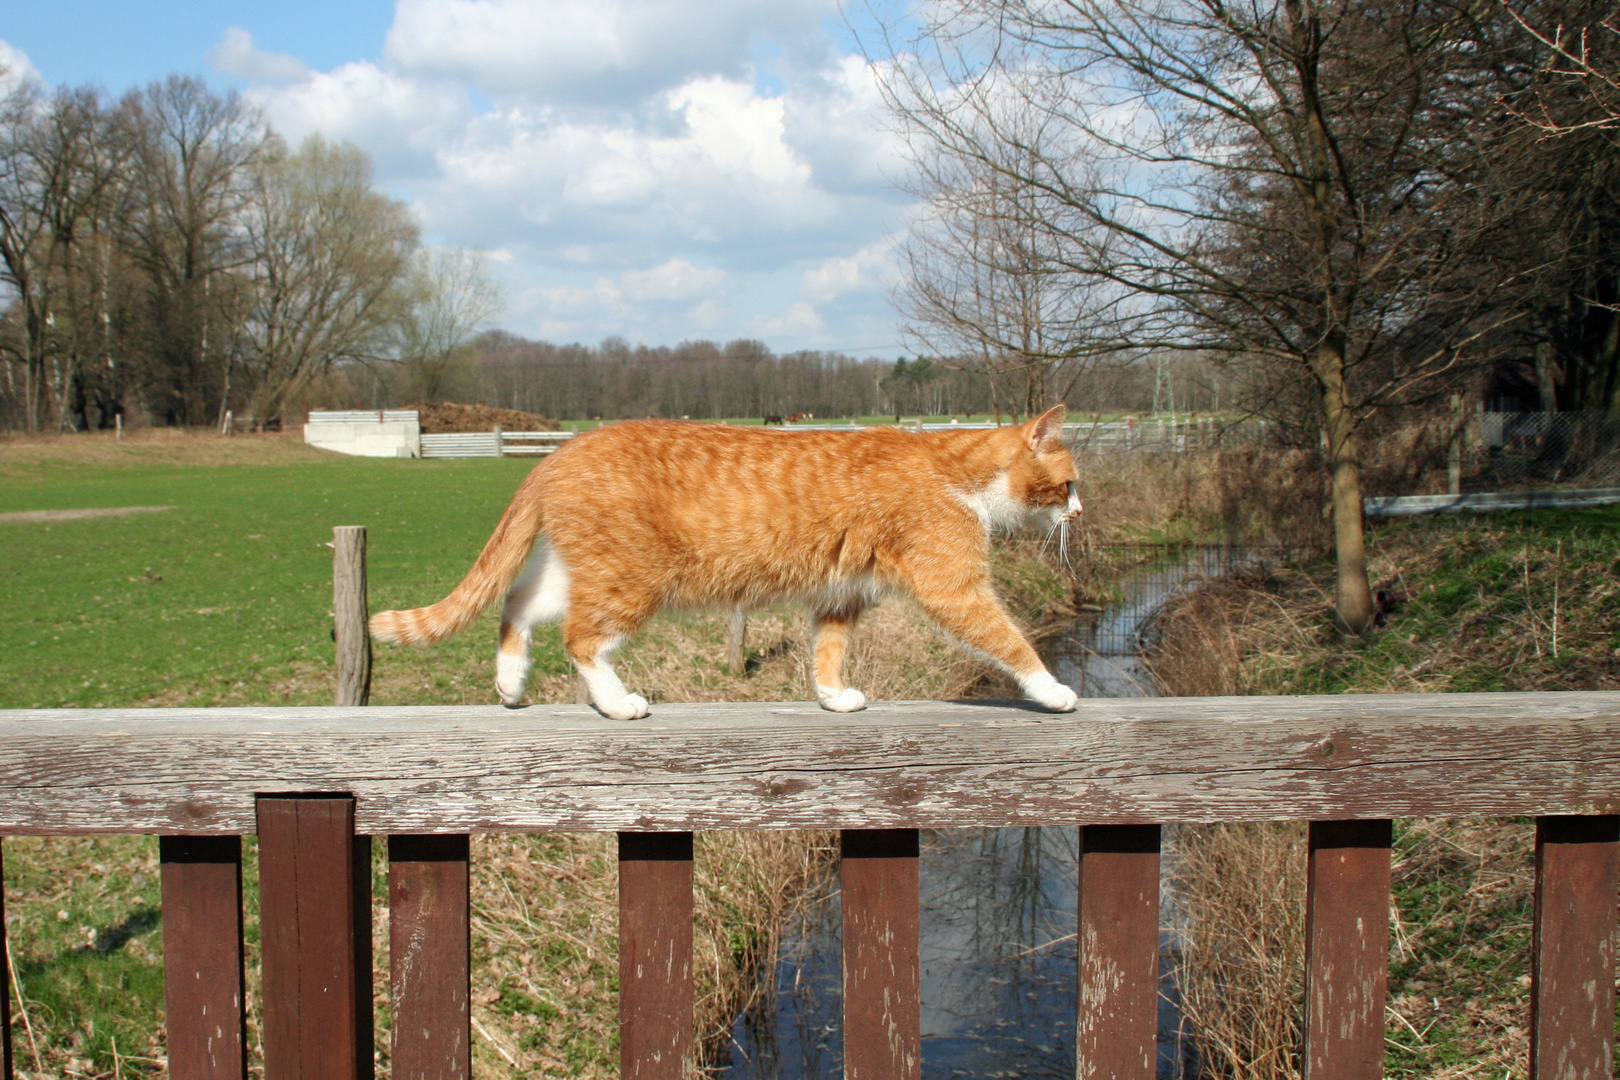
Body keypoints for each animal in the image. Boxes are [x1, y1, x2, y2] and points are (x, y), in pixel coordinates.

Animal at [370, 404, 1082, 718]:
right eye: (1070, 484)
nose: (1078, 513)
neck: (956, 473)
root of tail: (560, 452)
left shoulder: (841, 595)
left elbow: (828, 650)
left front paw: (832, 697)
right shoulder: (954, 586)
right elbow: (1009, 641)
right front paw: (1051, 689)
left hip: (582, 570)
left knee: (517, 603)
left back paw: (511, 683)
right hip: (631, 581)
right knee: (581, 639)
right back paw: (617, 704)